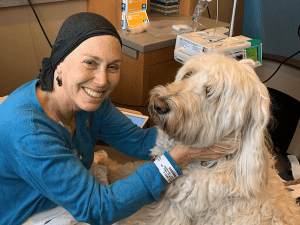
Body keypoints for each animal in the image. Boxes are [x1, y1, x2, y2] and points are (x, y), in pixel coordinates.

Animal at [97, 53, 298, 224]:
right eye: (189, 74)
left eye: (210, 92)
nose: (159, 104)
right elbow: (128, 172)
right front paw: (106, 165)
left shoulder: (167, 212)